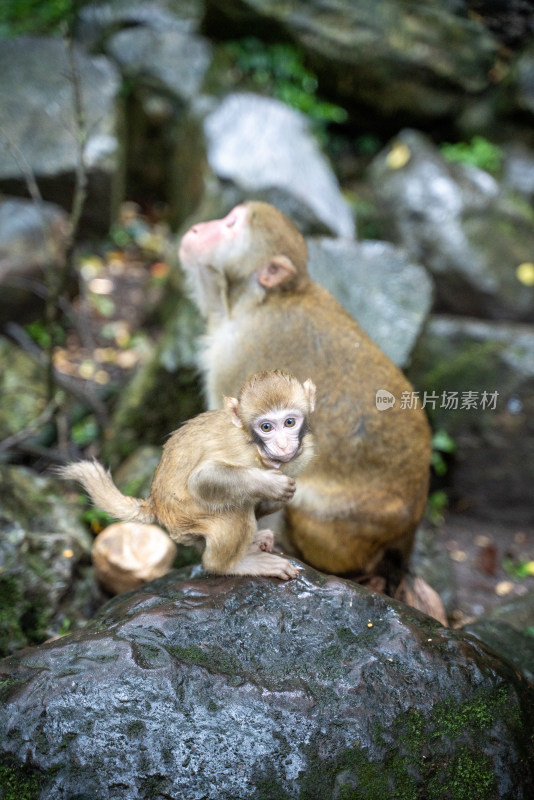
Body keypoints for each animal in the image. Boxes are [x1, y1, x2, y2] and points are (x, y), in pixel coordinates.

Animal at [60, 368, 316, 580]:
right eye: (266, 427)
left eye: (289, 422)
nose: (283, 445)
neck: (256, 447)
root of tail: (155, 504)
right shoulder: (240, 450)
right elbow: (202, 478)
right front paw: (271, 484)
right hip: (185, 516)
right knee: (234, 511)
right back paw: (230, 565)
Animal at [180, 203, 436, 592]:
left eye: (229, 225)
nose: (196, 229)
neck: (261, 299)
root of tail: (410, 526)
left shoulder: (234, 355)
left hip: (337, 535)